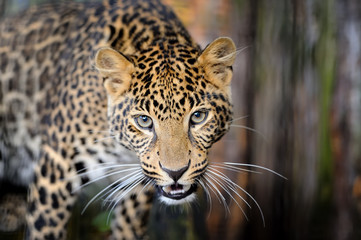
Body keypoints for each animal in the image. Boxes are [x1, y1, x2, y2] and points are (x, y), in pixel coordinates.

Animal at [0, 0, 236, 239]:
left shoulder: (135, 182)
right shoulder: (56, 167)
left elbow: (128, 227)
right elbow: (44, 227)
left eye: (198, 116)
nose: (175, 173)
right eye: (144, 121)